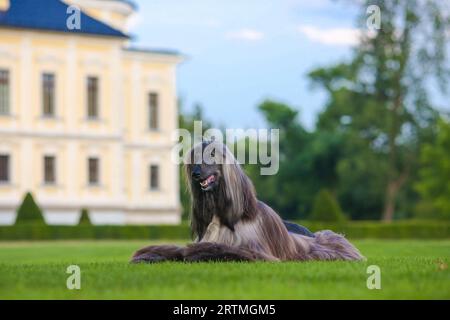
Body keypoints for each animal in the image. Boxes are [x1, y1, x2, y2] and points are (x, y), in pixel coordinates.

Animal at [132, 141, 364, 262]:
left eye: (211, 155)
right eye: (194, 158)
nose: (196, 173)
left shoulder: (254, 250)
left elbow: (215, 249)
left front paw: (194, 253)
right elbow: (173, 249)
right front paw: (149, 254)